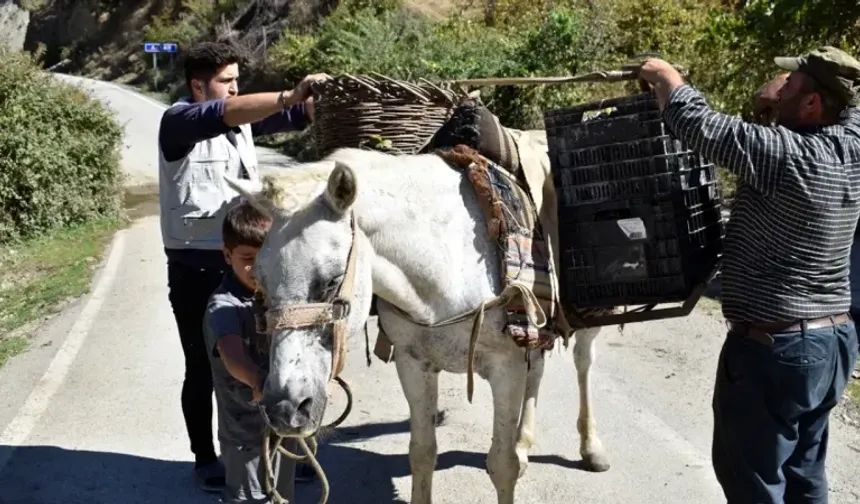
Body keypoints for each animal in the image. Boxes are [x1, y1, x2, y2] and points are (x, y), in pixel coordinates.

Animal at [225, 147, 608, 504]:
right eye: (259, 283)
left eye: (332, 281)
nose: (284, 409)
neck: (448, 260)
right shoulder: (414, 364)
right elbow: (422, 453)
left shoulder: (506, 368)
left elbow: (502, 465)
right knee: (539, 369)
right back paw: (525, 443)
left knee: (583, 363)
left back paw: (591, 448)